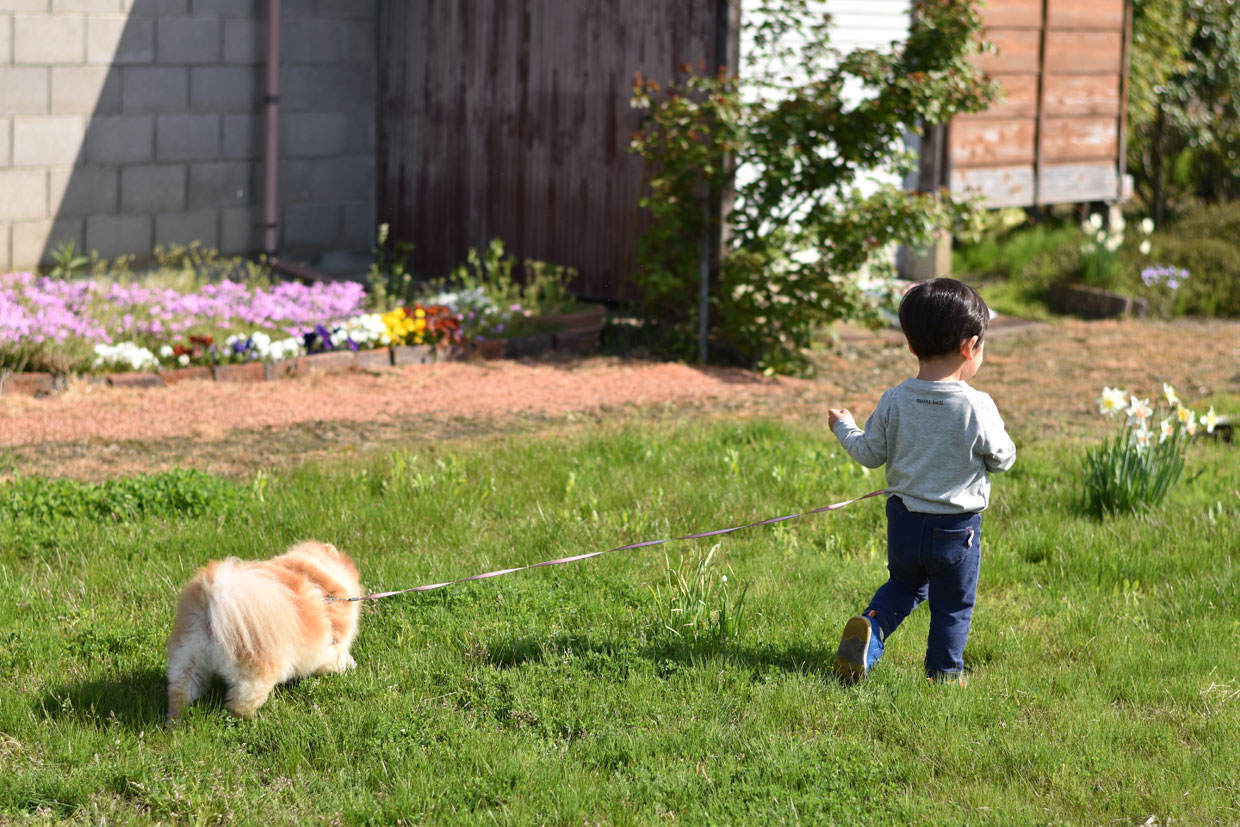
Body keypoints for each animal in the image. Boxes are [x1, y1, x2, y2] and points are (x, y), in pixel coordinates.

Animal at [164, 543, 362, 724]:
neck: (317, 577)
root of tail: (216, 599)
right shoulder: (330, 648)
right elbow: (340, 658)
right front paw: (351, 665)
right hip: (255, 672)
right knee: (239, 704)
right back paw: (253, 721)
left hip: (188, 655)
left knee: (180, 691)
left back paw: (174, 723)